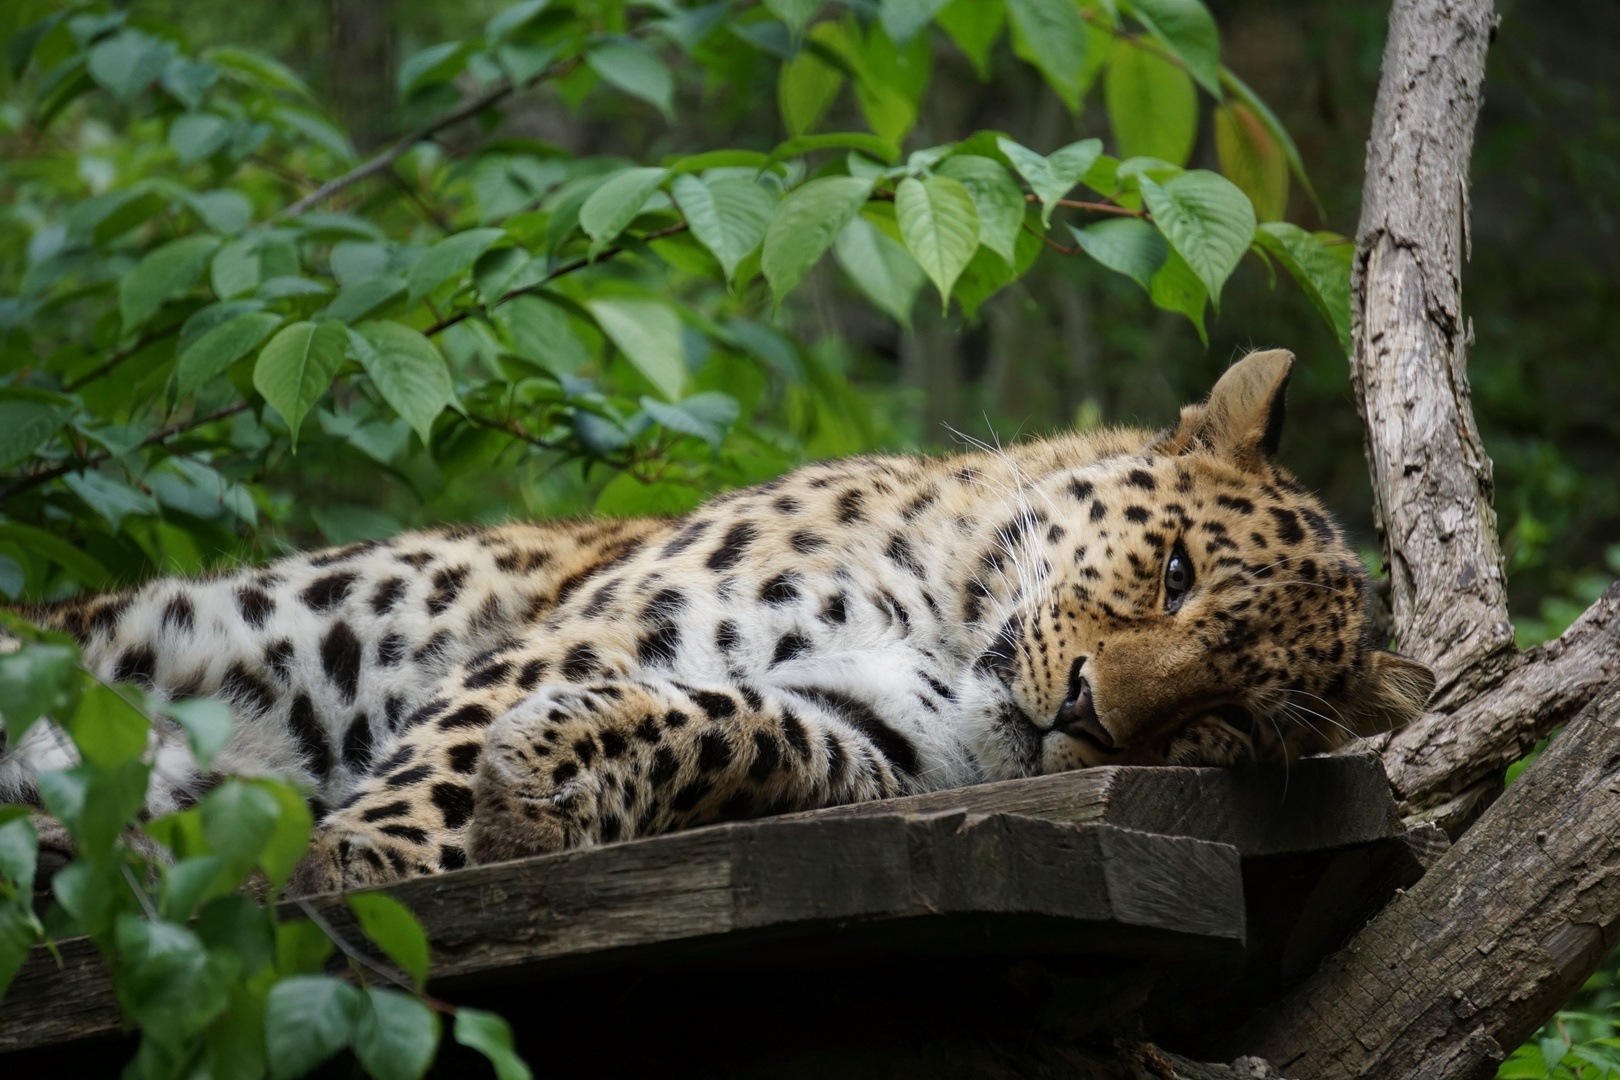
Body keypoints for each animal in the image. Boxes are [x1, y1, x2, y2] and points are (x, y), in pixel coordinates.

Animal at [6, 348, 1438, 893]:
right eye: (1176, 572)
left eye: (1228, 724)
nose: (1090, 712)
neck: (945, 615)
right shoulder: (600, 618)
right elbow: (452, 745)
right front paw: (372, 863)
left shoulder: (895, 742)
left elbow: (747, 725)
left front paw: (556, 781)